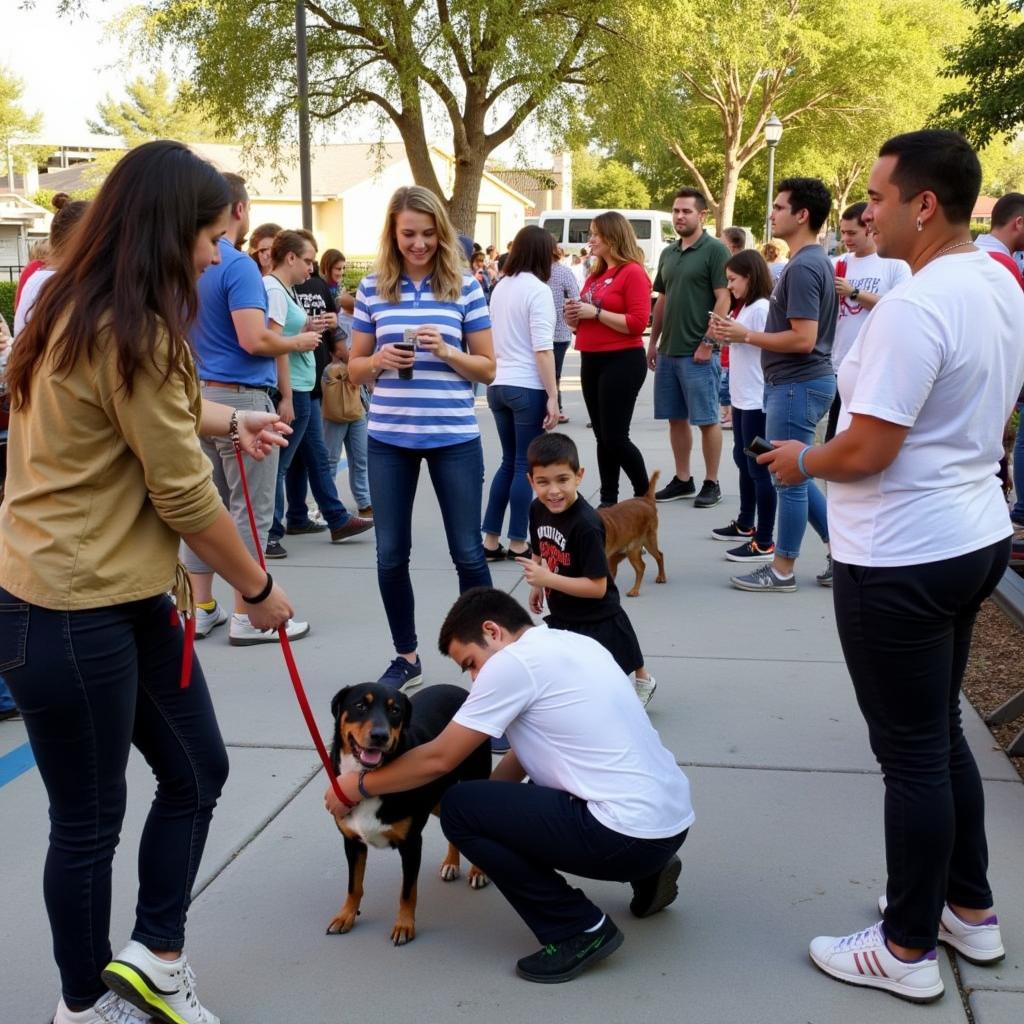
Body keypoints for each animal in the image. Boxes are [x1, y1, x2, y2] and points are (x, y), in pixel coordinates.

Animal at [325, 684, 489, 946]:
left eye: (395, 710)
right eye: (360, 705)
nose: (380, 736)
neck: (367, 776)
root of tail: (459, 689)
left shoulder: (411, 845)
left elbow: (407, 892)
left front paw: (404, 925)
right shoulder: (352, 842)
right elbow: (354, 885)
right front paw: (346, 916)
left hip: (473, 779)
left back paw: (478, 871)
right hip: (438, 799)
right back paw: (451, 863)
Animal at [598, 468, 667, 598]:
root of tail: (646, 500)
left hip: (639, 546)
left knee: (645, 565)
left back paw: (637, 589)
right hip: (619, 553)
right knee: (658, 555)